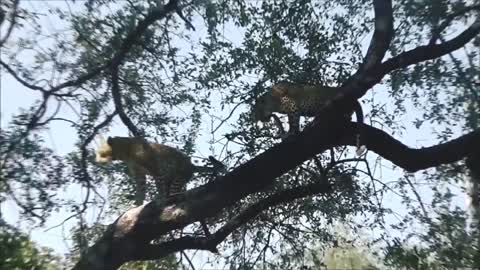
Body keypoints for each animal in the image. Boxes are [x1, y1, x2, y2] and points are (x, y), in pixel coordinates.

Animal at [96, 136, 227, 206]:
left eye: (100, 152)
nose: (96, 160)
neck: (125, 152)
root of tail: (191, 165)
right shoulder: (140, 175)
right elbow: (141, 190)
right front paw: (138, 204)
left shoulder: (155, 169)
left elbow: (159, 187)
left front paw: (160, 199)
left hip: (178, 177)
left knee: (174, 192)